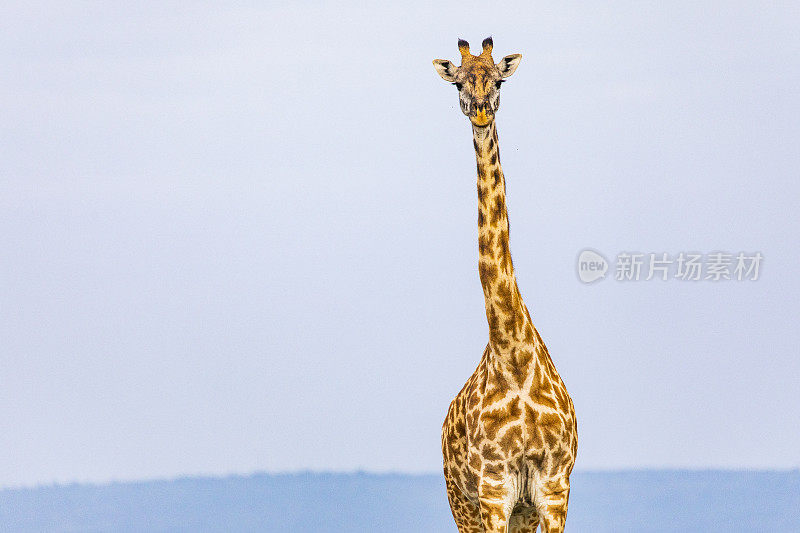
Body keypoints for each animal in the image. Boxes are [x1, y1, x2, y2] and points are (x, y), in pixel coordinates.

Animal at [434, 35, 580, 528]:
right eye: (458, 82)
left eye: (498, 79)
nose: (480, 112)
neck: (512, 352)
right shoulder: (494, 489)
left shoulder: (553, 488)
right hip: (463, 505)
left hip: (521, 512)